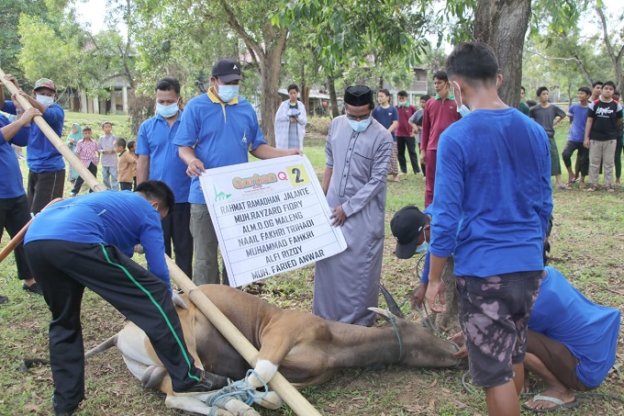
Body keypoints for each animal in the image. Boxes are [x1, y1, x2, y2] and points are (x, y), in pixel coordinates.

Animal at [86, 284, 458, 414]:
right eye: (422, 333)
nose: (457, 352)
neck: (333, 341)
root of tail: (121, 333)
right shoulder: (276, 338)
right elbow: (259, 375)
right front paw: (243, 397)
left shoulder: (307, 379)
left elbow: (274, 393)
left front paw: (249, 399)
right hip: (184, 345)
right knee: (178, 389)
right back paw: (237, 406)